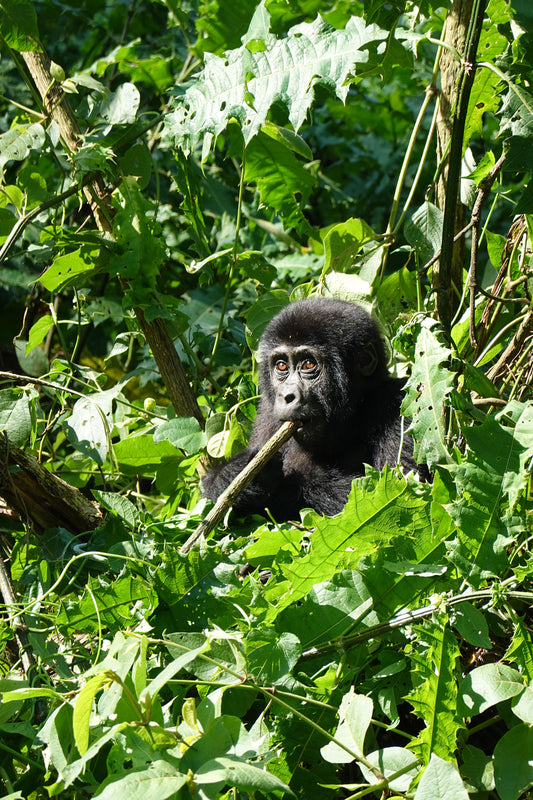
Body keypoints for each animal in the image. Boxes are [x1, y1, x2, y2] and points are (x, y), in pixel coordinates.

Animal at [202, 298, 418, 520]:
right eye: (281, 366)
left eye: (308, 364)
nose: (287, 396)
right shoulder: (267, 414)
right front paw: (237, 473)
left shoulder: (397, 403)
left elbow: (400, 488)